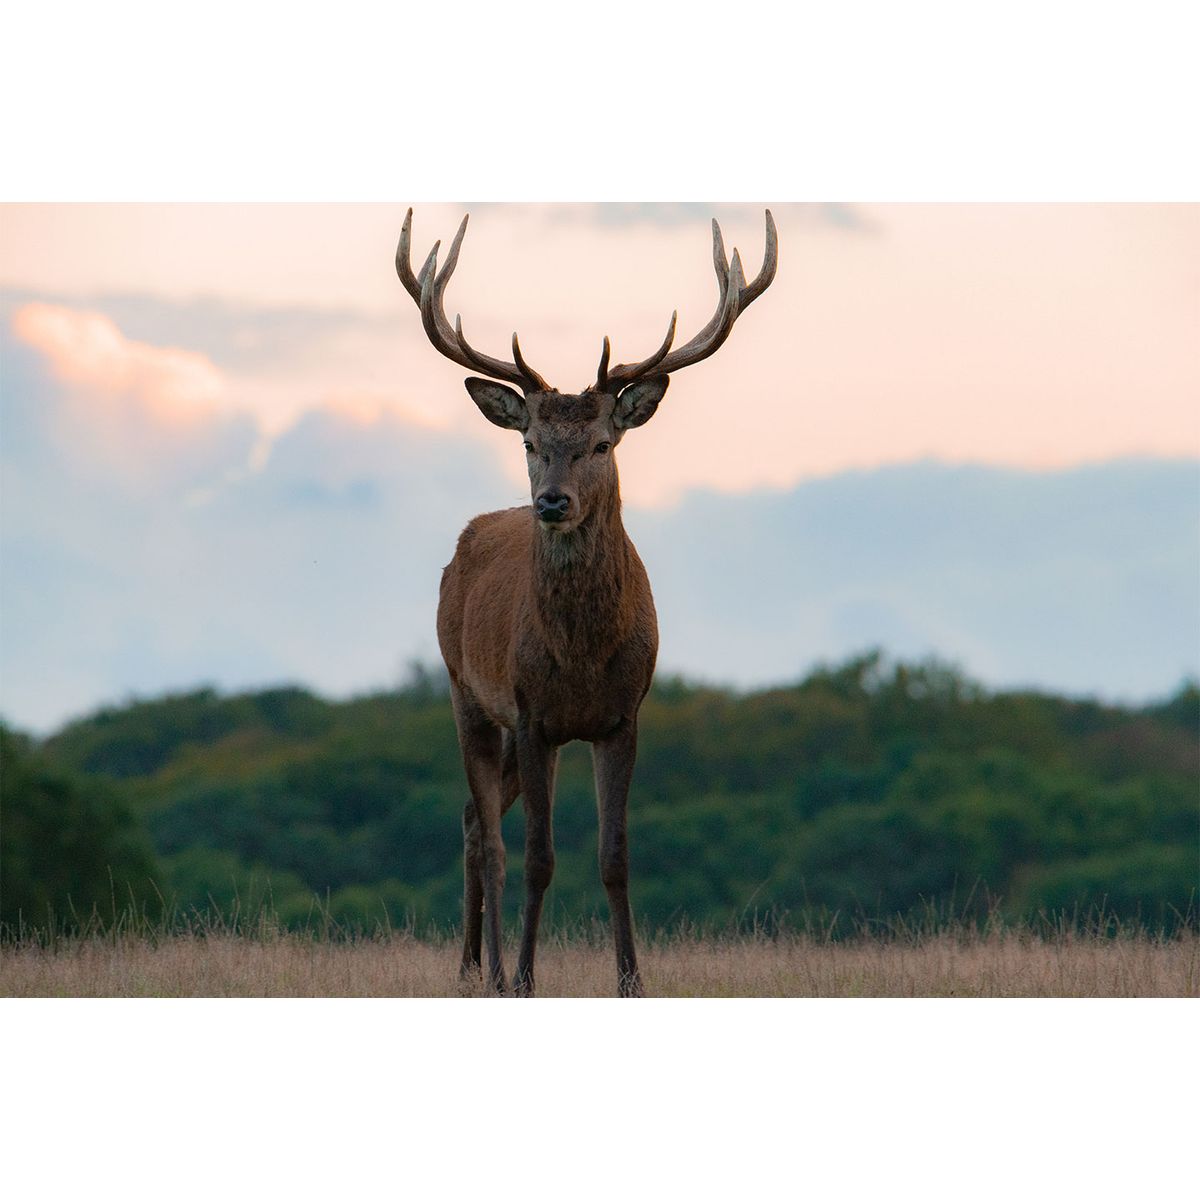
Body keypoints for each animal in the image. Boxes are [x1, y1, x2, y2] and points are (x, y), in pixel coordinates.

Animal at [393, 206, 777, 993]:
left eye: (602, 442)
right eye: (531, 441)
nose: (551, 501)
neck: (579, 656)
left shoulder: (621, 716)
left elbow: (615, 857)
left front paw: (632, 978)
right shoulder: (535, 714)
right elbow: (539, 858)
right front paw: (528, 977)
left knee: (474, 819)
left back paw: (476, 967)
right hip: (465, 690)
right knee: (489, 836)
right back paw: (487, 970)